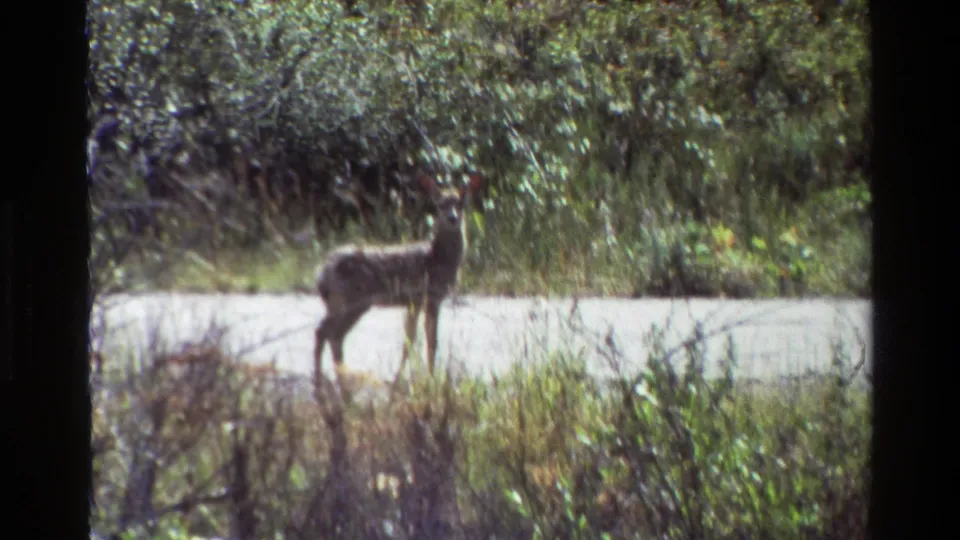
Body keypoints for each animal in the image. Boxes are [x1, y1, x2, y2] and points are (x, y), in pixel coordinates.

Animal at [313, 171, 484, 400]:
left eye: (460, 204)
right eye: (440, 205)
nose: (452, 218)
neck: (438, 259)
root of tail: (322, 272)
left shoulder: (415, 302)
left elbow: (410, 340)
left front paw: (403, 383)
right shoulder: (431, 295)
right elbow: (431, 341)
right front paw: (430, 381)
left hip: (346, 304)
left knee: (334, 335)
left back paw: (342, 386)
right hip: (349, 301)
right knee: (324, 332)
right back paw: (323, 388)